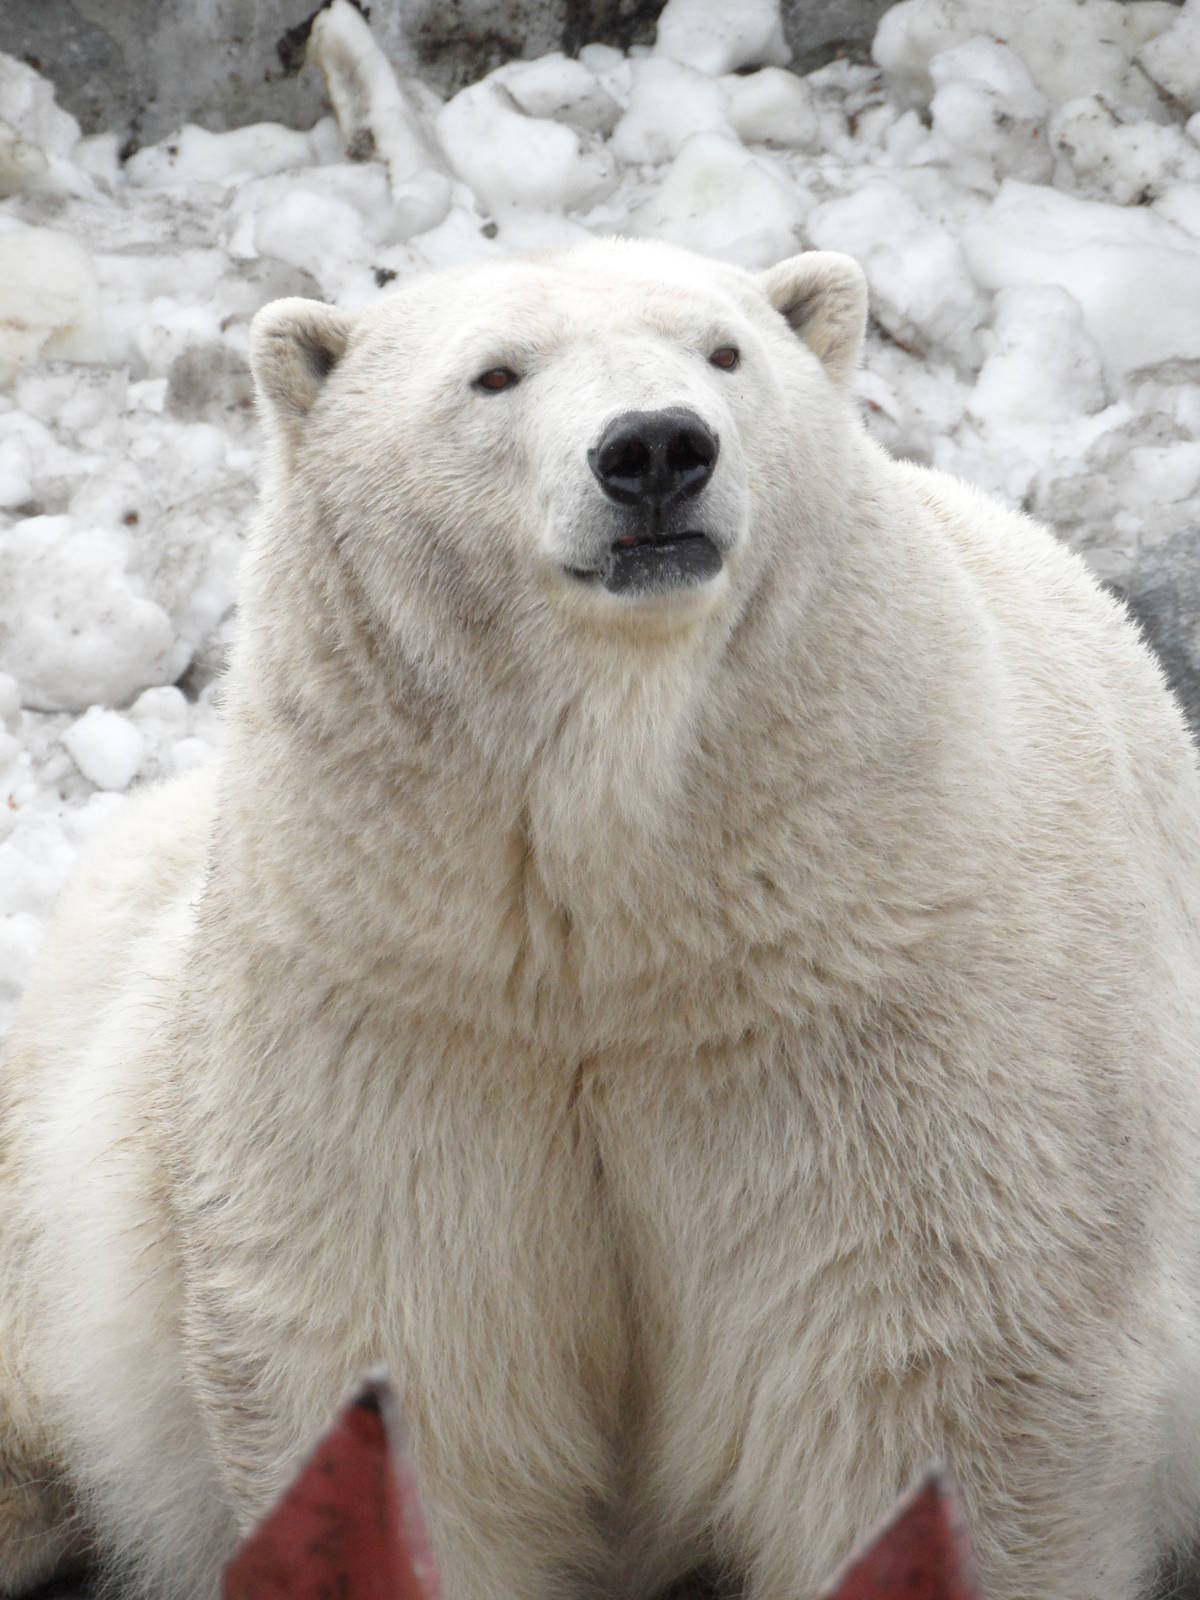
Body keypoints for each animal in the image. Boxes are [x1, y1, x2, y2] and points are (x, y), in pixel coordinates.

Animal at [3, 237, 1200, 1600]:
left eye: (724, 349)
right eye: (495, 374)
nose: (657, 448)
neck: (628, 933)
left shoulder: (881, 1020)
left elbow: (939, 1390)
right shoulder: (399, 1015)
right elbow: (409, 1381)